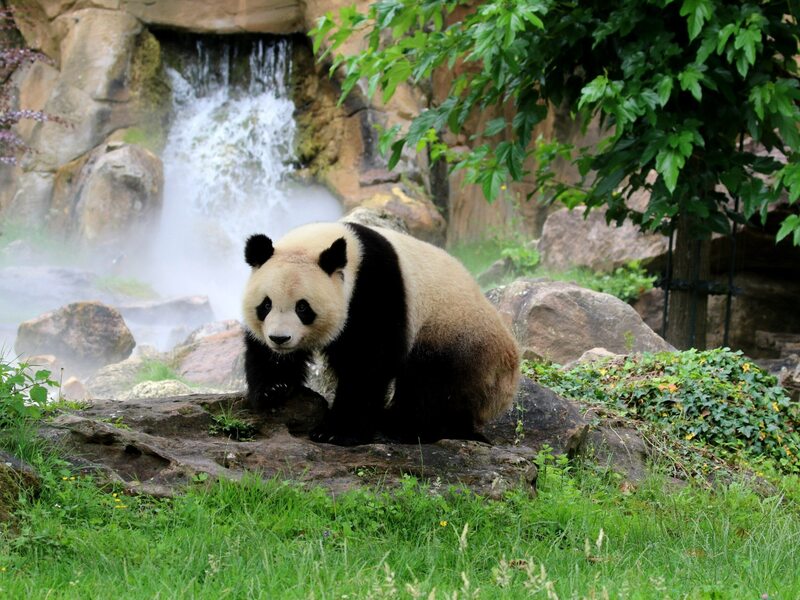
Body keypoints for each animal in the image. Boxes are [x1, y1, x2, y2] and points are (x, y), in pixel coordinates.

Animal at [241, 221, 520, 446]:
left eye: (302, 307)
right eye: (266, 305)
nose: (280, 339)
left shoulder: (377, 288)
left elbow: (368, 362)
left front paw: (337, 432)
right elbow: (262, 352)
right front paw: (274, 388)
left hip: (455, 336)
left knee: (432, 387)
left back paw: (404, 426)